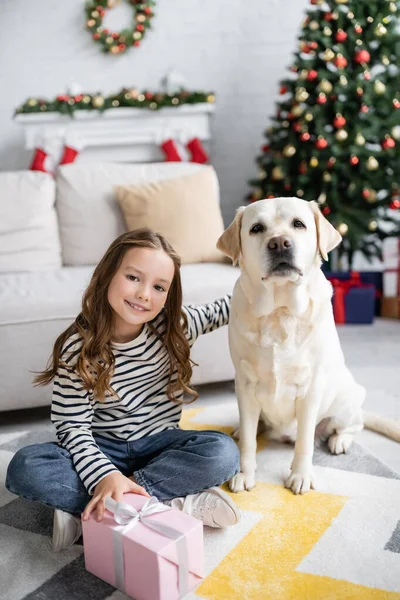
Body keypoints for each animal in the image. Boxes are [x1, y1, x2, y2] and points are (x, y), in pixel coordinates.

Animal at [219, 197, 400, 492]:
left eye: (298, 224)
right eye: (256, 228)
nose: (279, 243)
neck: (279, 311)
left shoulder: (310, 388)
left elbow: (304, 440)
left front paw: (300, 475)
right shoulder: (244, 385)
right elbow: (247, 440)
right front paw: (245, 474)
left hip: (347, 401)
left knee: (353, 426)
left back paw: (339, 440)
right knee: (252, 427)